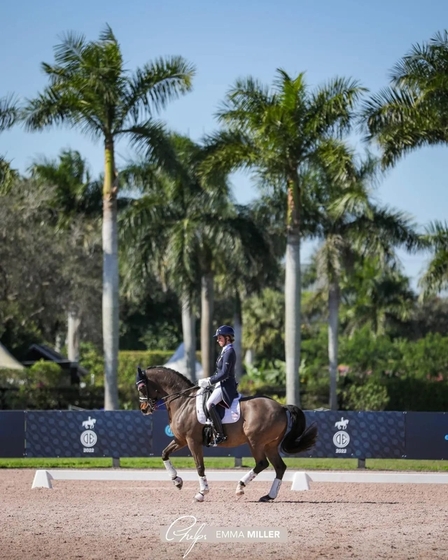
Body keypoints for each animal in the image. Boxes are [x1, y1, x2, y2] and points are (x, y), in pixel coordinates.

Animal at [136, 366, 318, 500]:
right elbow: (164, 454)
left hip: (255, 441)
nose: (144, 409)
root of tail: (280, 406)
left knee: (262, 463)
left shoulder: (192, 441)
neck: (183, 402)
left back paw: (240, 487)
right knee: (279, 467)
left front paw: (202, 493)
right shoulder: (181, 440)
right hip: (270, 445)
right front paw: (177, 481)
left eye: (142, 387)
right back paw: (269, 496)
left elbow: (199, 466)